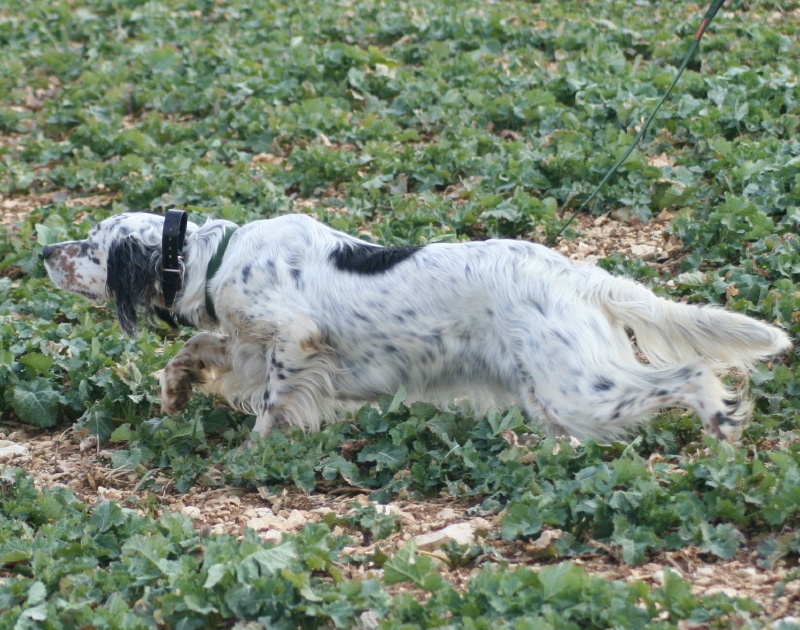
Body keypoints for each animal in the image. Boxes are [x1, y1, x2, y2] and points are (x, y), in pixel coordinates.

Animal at [40, 212, 792, 444]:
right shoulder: (246, 342)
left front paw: (254, 454)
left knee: (693, 374)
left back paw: (723, 420)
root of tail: (575, 273)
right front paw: (174, 390)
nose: (43, 250)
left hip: (579, 387)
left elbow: (274, 404)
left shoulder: (295, 341)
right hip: (554, 395)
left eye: (90, 245)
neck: (218, 256)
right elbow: (201, 346)